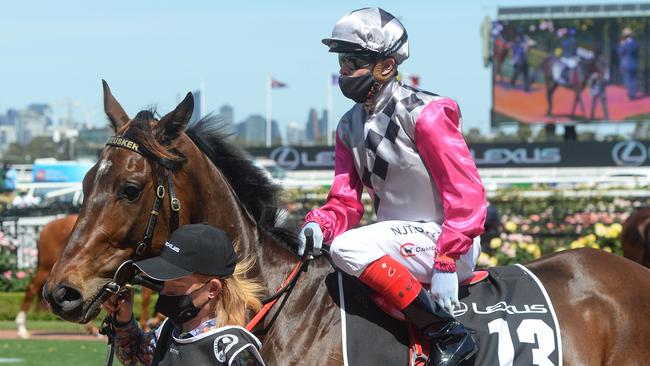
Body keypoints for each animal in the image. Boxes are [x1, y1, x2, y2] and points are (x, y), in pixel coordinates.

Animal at [15, 213, 158, 338]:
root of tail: (46, 227)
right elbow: (146, 298)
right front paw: (147, 324)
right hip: (48, 268)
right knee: (33, 289)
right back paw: (21, 328)